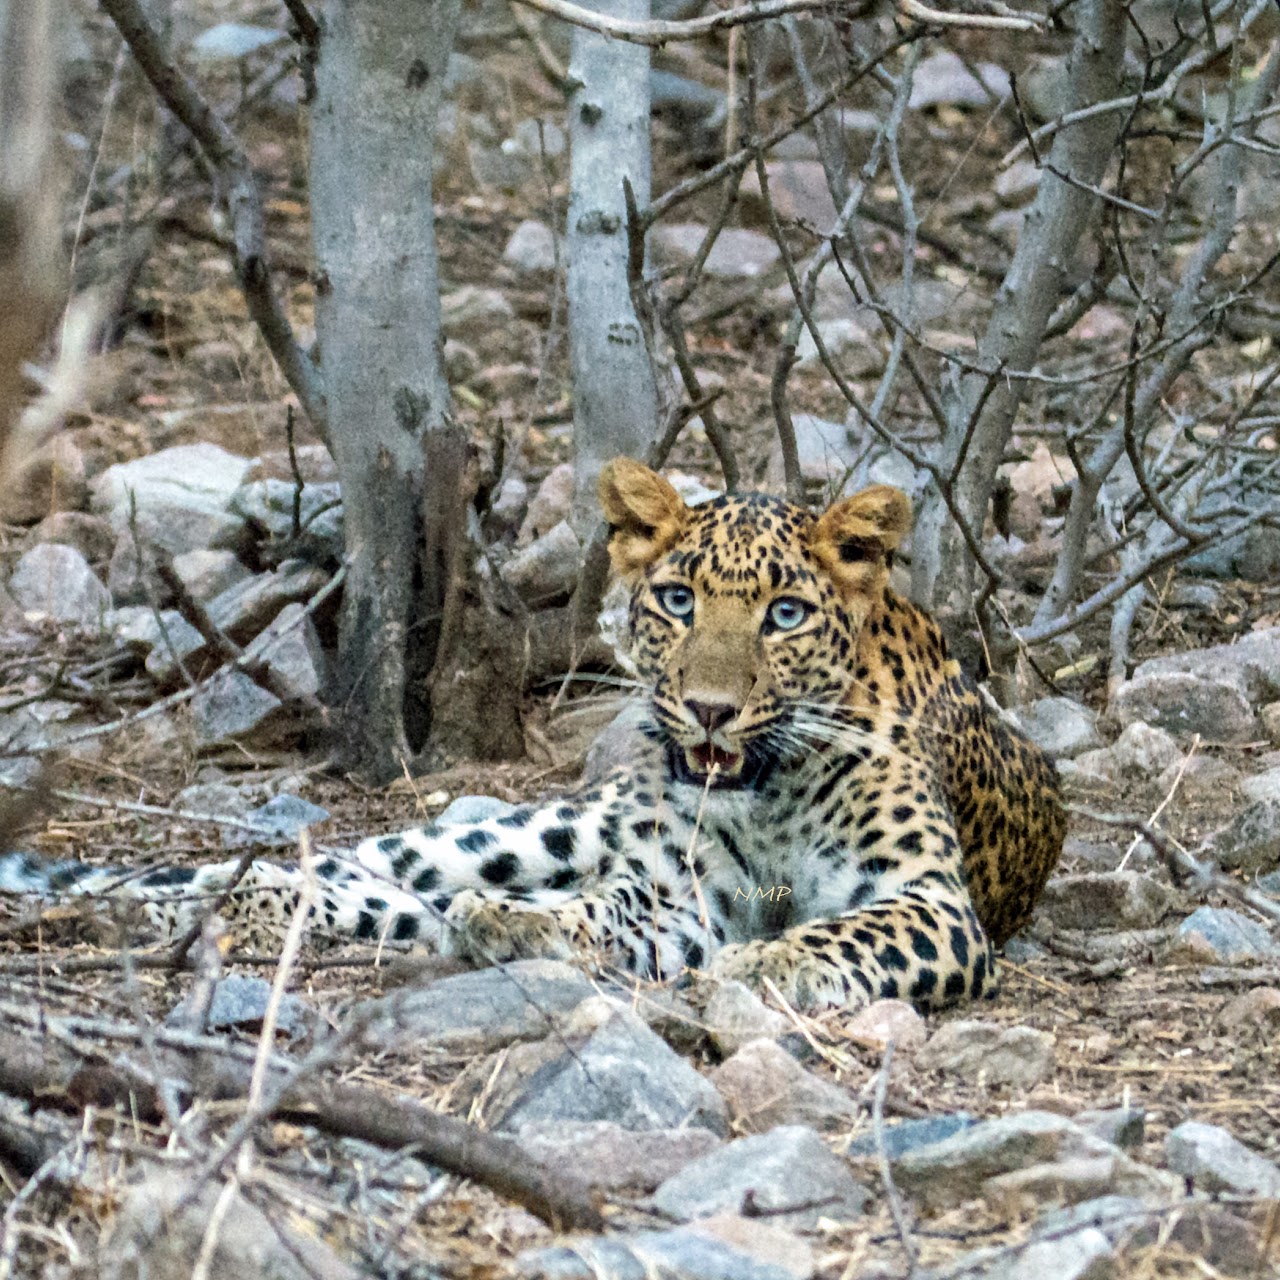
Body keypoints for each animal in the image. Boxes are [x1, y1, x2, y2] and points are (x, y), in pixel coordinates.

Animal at [0, 459, 1065, 1011]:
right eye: (679, 602)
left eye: (787, 616)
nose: (710, 709)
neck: (769, 791)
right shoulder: (686, 893)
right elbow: (617, 908)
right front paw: (538, 923)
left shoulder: (933, 904)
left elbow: (846, 928)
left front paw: (775, 962)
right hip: (530, 830)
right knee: (352, 867)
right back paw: (168, 904)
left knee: (388, 902)